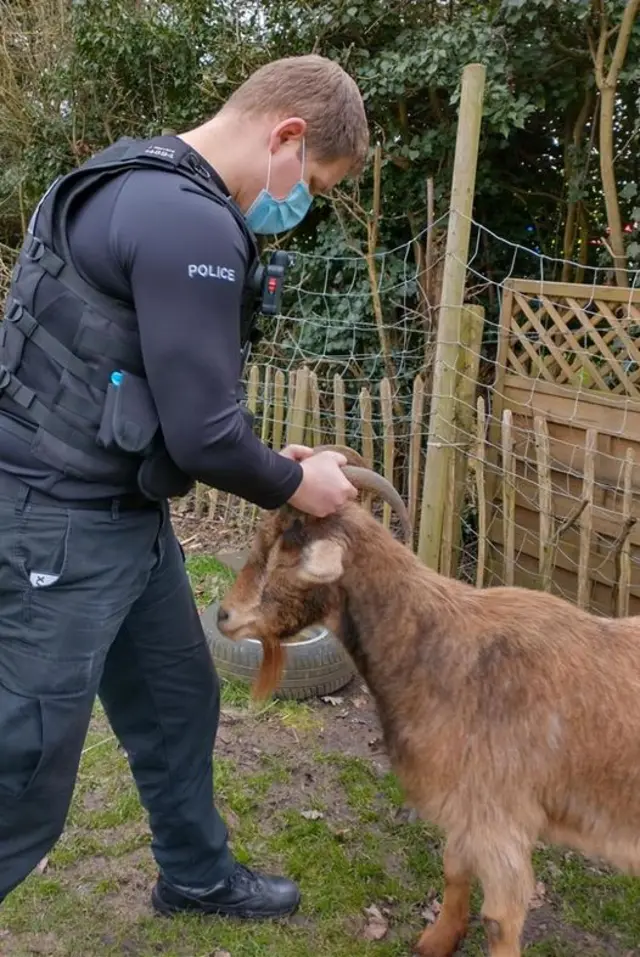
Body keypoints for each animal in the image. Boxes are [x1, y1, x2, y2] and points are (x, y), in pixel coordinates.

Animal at [218, 448, 640, 956]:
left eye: (286, 551)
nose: (224, 616)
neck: (441, 647)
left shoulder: (500, 818)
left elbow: (499, 920)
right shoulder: (465, 808)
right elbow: (454, 869)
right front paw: (437, 941)